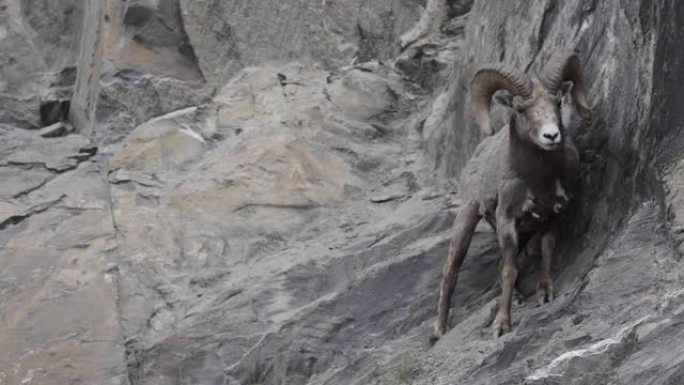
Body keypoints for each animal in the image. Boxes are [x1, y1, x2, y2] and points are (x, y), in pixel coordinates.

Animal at [436, 50, 592, 336]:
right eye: (520, 108)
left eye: (557, 101)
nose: (551, 135)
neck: (538, 179)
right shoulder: (507, 220)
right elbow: (509, 269)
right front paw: (501, 325)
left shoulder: (554, 214)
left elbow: (547, 249)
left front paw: (545, 292)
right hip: (467, 217)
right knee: (451, 270)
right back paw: (440, 329)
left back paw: (519, 297)